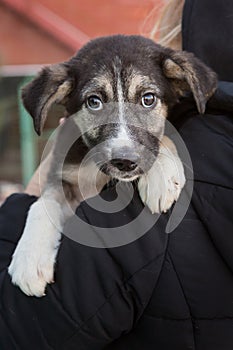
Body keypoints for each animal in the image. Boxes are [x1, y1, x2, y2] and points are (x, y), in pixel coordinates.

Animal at [8, 34, 217, 296]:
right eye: (94, 102)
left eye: (148, 99)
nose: (124, 161)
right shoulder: (64, 177)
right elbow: (42, 204)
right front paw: (30, 258)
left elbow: (165, 136)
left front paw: (161, 178)